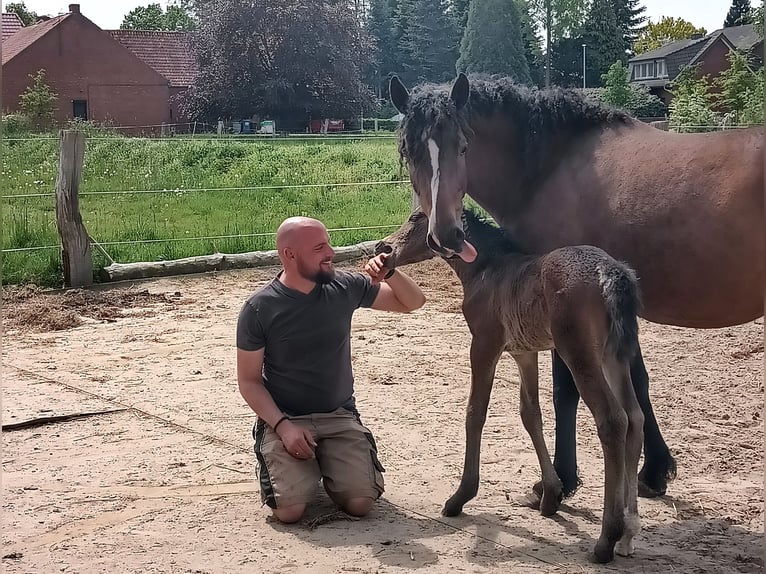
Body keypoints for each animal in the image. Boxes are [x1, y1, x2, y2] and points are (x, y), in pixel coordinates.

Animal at [378, 209, 645, 563]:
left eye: (416, 216)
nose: (383, 247)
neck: (488, 270)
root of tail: (612, 272)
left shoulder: (484, 344)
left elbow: (475, 412)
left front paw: (460, 496)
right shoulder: (524, 352)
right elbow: (530, 414)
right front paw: (551, 496)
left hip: (580, 354)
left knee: (613, 420)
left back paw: (607, 540)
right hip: (615, 355)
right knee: (636, 417)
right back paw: (629, 532)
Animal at [388, 73, 764, 498]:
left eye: (464, 146)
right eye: (409, 152)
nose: (447, 235)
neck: (549, 167)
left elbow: (565, 391)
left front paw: (562, 478)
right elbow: (637, 383)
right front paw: (653, 471)